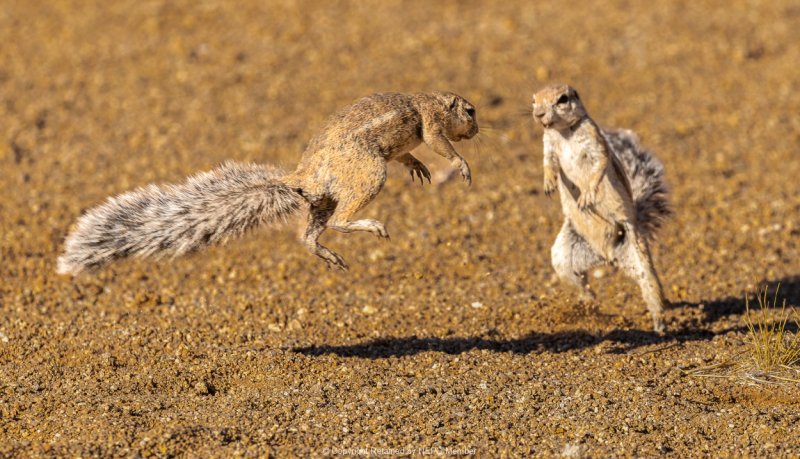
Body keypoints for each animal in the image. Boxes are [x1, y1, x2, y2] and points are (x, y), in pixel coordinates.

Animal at [57, 91, 478, 275]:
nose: (476, 129)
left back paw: (327, 254)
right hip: (369, 173)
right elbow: (439, 144)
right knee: (341, 219)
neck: (433, 99)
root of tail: (301, 176)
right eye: (471, 111)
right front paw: (461, 164)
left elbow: (411, 154)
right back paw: (371, 226)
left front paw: (419, 166)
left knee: (310, 235)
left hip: (321, 199)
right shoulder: (430, 123)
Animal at [532, 83, 672, 332]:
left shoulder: (594, 141)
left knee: (650, 284)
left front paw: (588, 194)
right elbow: (548, 163)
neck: (563, 132)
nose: (538, 114)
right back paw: (588, 304)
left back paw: (659, 323)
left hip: (637, 254)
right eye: (534, 99)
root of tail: (608, 256)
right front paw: (548, 182)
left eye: (562, 99)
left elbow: (599, 165)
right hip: (565, 256)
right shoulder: (547, 144)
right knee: (577, 280)